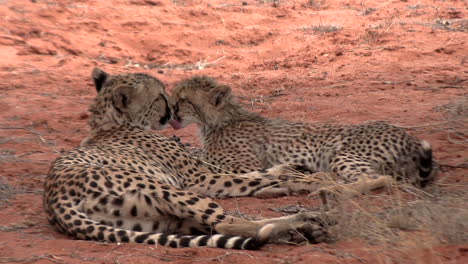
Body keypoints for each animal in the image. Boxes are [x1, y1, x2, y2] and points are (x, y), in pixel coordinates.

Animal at [43, 68, 330, 250]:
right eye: (159, 96)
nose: (171, 110)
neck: (110, 124)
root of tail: (55, 199)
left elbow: (256, 174)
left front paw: (291, 171)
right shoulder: (201, 178)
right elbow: (252, 177)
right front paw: (309, 177)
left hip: (155, 219)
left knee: (217, 228)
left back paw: (305, 227)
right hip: (174, 193)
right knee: (231, 223)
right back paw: (304, 221)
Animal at [170, 75, 436, 197]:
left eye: (183, 99)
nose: (170, 108)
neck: (219, 121)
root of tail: (407, 137)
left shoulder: (246, 165)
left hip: (342, 155)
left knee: (379, 179)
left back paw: (325, 188)